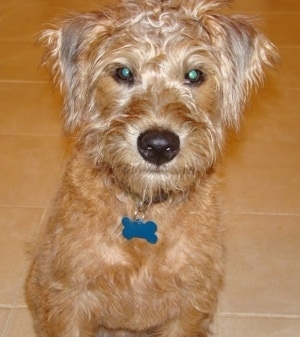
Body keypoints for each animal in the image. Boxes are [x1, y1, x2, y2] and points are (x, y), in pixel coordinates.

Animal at [26, 0, 278, 336]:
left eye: (194, 74)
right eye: (123, 72)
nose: (158, 145)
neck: (144, 206)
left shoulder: (189, 303)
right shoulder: (69, 297)